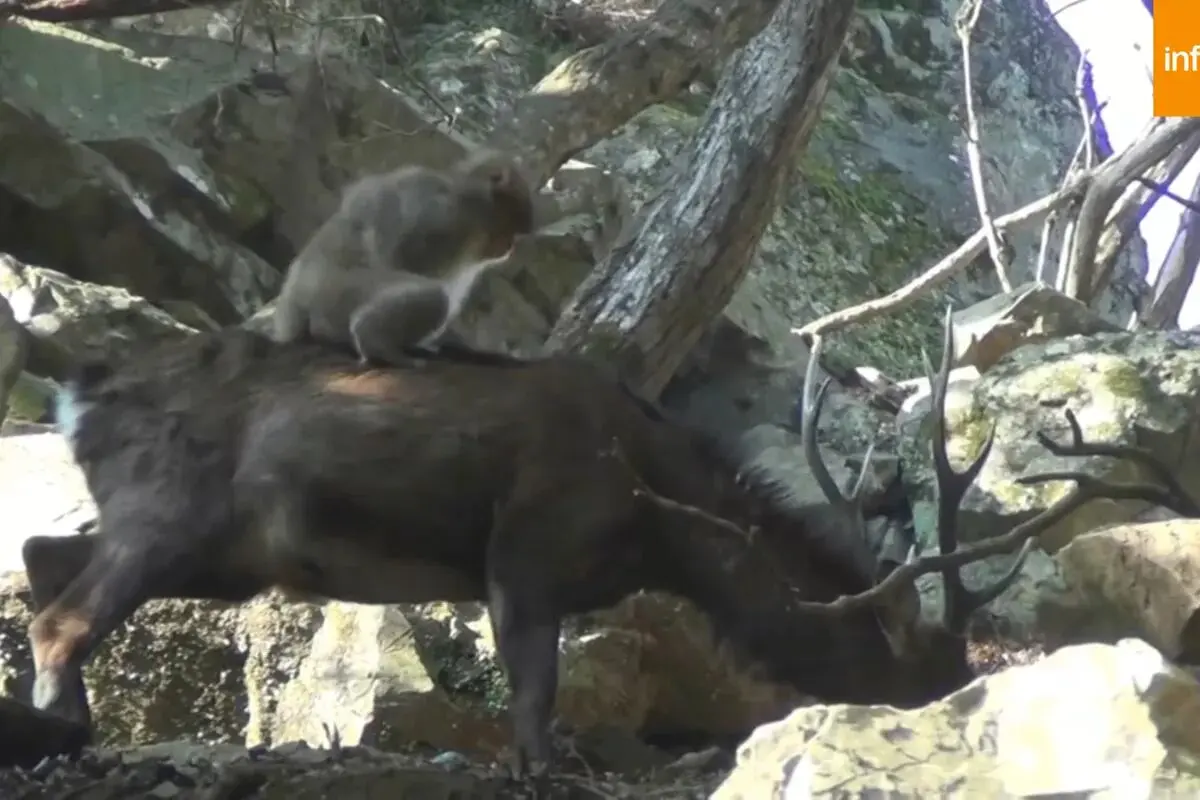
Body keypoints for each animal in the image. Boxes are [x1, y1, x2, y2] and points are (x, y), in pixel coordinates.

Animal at [271, 149, 537, 367]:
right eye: (509, 228)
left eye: (515, 233)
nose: (509, 246)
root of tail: (292, 307)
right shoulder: (438, 211)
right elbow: (395, 250)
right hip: (333, 294)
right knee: (434, 296)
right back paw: (375, 341)